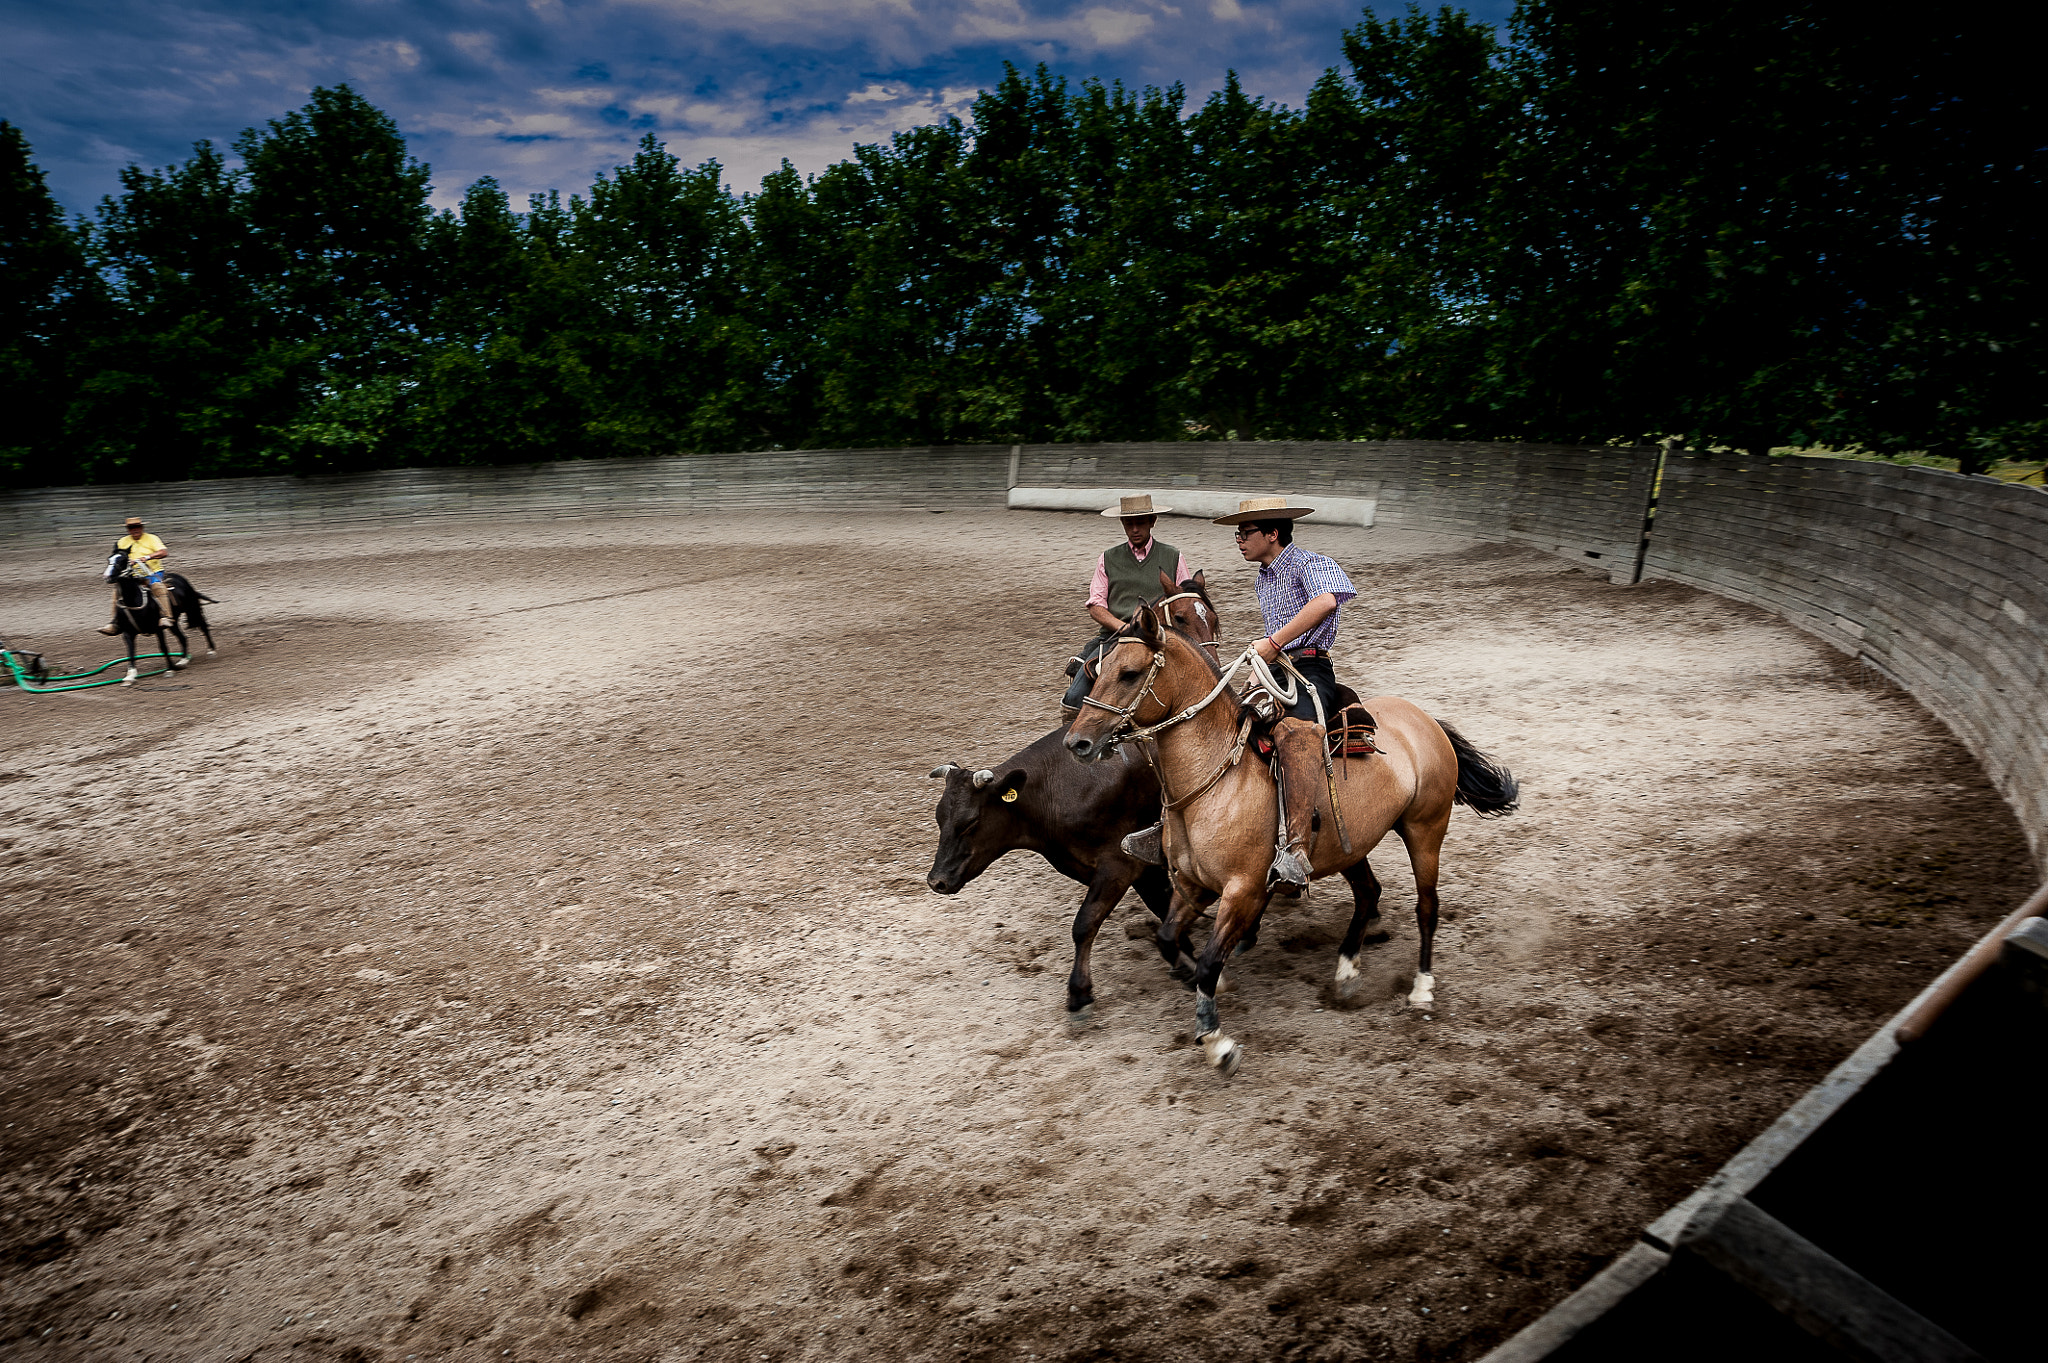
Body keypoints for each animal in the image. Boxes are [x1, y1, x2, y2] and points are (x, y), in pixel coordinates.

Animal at [102, 548, 221, 683]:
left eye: (122, 560)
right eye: (109, 559)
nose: (107, 577)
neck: (134, 600)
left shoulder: (158, 629)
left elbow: (163, 647)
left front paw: (169, 670)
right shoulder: (128, 632)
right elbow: (131, 651)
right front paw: (130, 676)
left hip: (192, 609)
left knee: (203, 626)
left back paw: (211, 651)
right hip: (173, 622)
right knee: (182, 637)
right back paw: (183, 660)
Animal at [933, 568, 1228, 1015]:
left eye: (969, 823)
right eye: (940, 820)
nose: (936, 881)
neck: (1059, 789)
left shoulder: (1119, 866)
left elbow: (1084, 923)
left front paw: (1079, 990)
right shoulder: (1140, 869)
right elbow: (1163, 910)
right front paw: (1185, 959)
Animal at [1064, 601, 1515, 1080]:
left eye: (1129, 673)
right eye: (1098, 669)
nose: (1078, 742)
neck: (1215, 781)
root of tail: (1424, 719)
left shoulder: (1242, 891)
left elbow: (1209, 961)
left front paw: (1219, 1044)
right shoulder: (1192, 885)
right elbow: (1168, 940)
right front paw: (1203, 986)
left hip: (1426, 828)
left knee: (1427, 907)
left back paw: (1422, 989)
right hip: (1349, 846)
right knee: (1369, 892)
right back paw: (1346, 972)